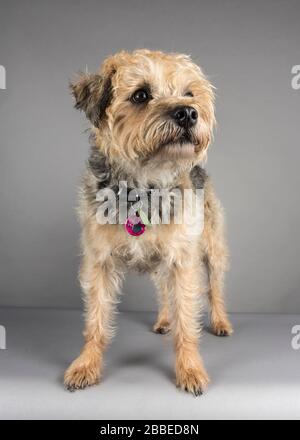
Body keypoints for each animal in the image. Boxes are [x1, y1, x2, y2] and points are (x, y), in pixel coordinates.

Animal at [63, 49, 233, 396]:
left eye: (189, 93)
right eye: (141, 95)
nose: (188, 113)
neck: (144, 186)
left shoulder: (183, 261)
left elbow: (187, 318)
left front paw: (190, 369)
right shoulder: (99, 263)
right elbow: (96, 319)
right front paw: (86, 365)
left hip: (212, 251)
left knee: (214, 288)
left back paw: (221, 322)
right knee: (164, 292)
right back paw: (164, 320)